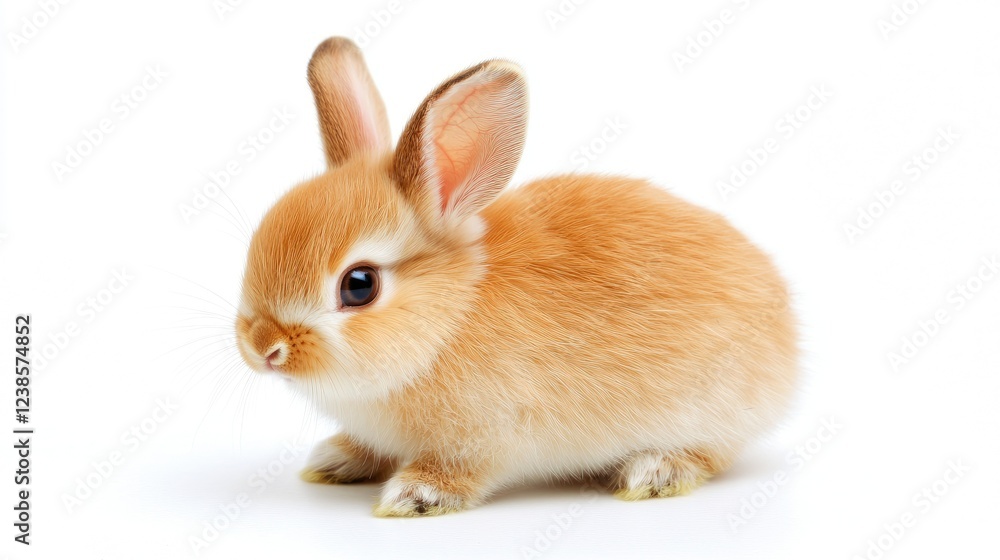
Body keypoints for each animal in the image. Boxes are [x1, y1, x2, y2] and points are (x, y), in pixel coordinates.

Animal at [234, 36, 798, 517]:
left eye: (359, 285)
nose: (263, 348)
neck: (448, 319)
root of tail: (788, 335)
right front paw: (334, 459)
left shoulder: (486, 435)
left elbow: (459, 469)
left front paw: (415, 496)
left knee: (711, 454)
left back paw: (655, 473)